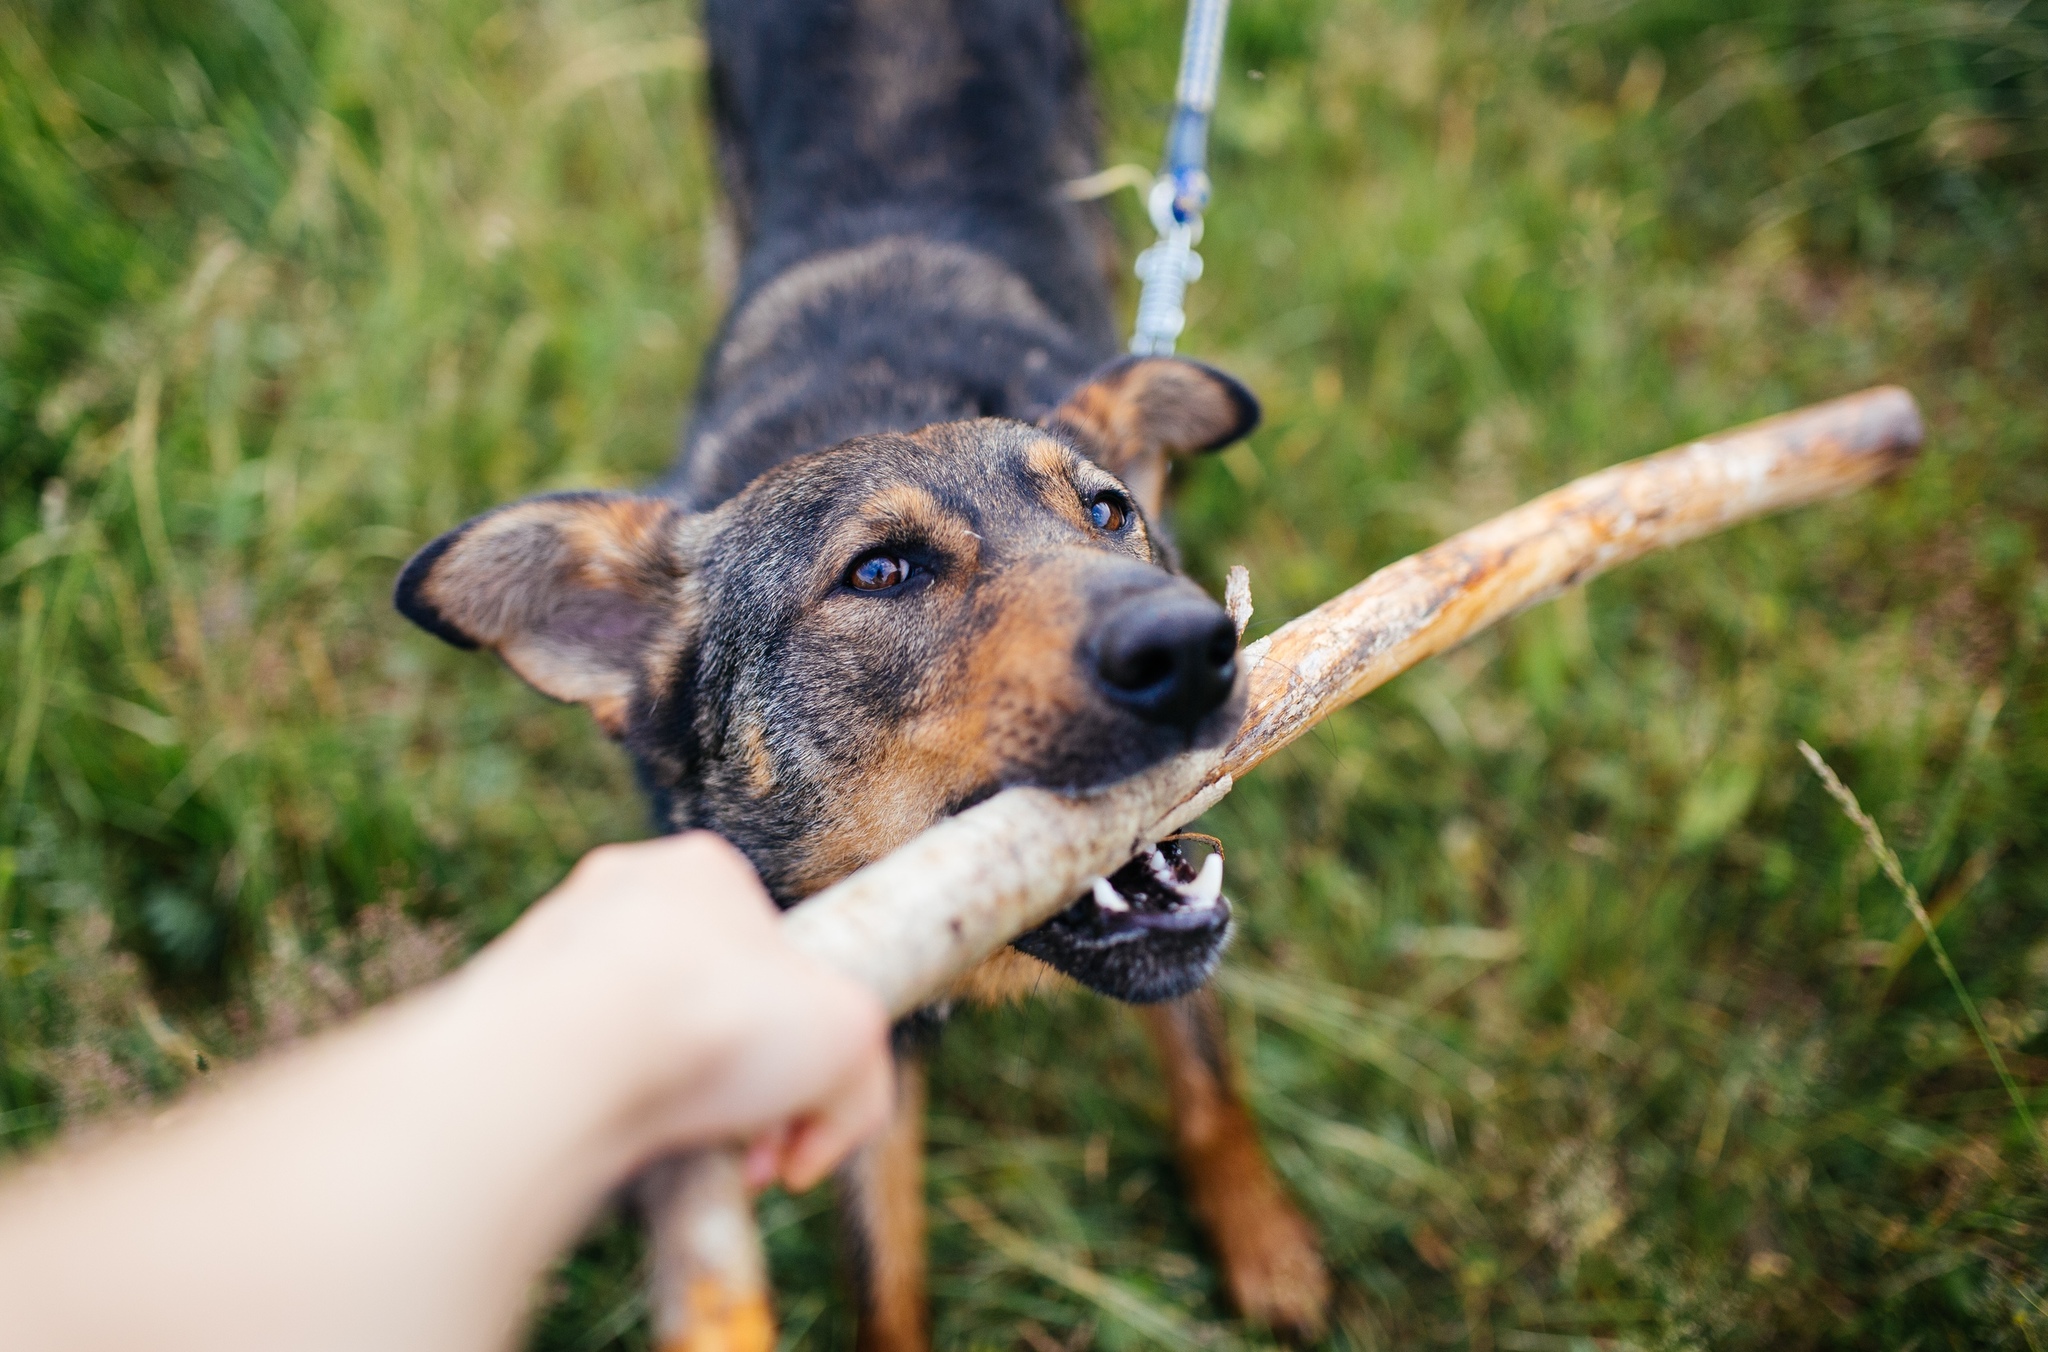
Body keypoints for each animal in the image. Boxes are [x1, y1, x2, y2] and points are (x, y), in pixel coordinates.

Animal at [395, 0, 1327, 1343]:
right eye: (879, 571)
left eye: (1105, 511)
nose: (1193, 646)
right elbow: (878, 1265)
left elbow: (1205, 1066)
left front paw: (1263, 1242)